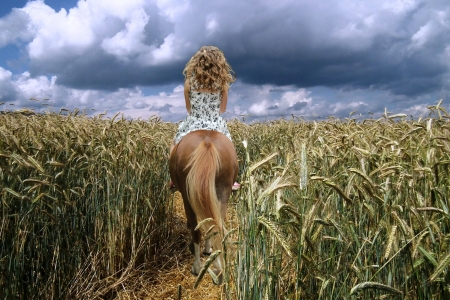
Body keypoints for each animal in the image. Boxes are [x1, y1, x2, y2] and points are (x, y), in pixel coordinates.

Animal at [170, 129, 239, 284]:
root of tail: (207, 142)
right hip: (223, 193)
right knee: (216, 227)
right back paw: (218, 269)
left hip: (187, 196)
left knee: (196, 230)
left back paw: (197, 267)